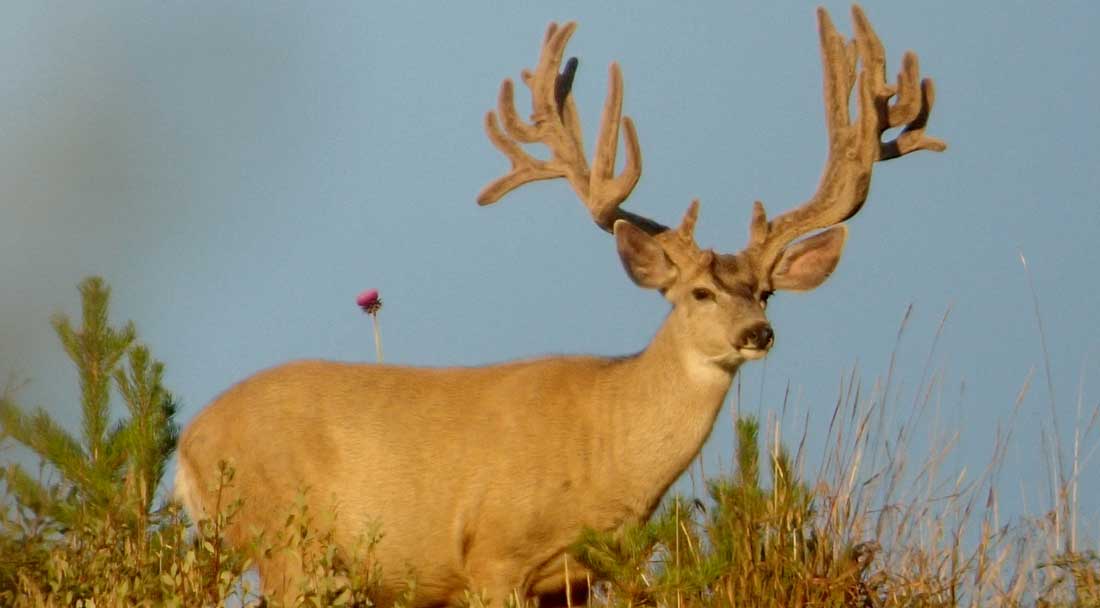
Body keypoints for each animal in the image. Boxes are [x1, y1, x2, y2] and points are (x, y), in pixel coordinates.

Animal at [176, 7, 941, 602]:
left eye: (766, 290)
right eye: (698, 291)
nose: (758, 332)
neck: (605, 449)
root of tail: (190, 444)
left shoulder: (576, 577)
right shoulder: (490, 558)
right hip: (285, 541)